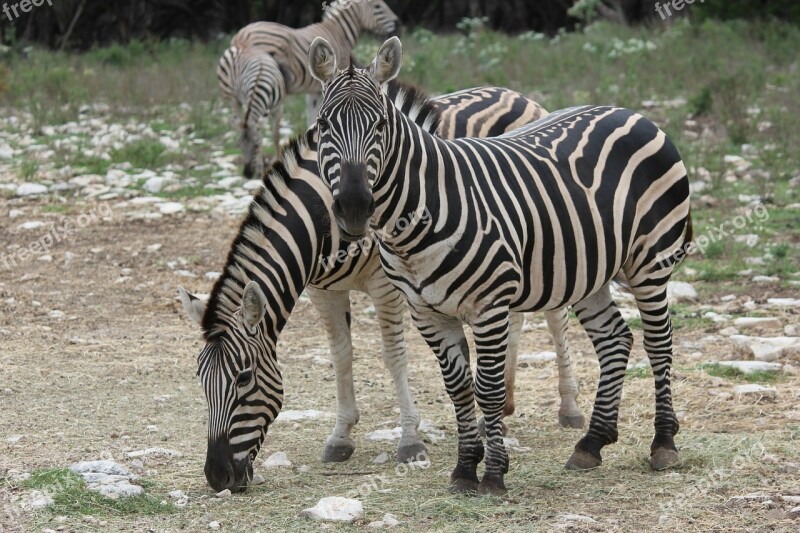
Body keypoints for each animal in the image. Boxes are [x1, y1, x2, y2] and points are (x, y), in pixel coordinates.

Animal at [178, 81, 584, 492]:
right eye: (200, 380)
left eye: (244, 379)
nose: (216, 476)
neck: (321, 219)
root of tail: (514, 93)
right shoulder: (322, 290)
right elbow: (341, 356)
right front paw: (341, 436)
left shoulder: (386, 283)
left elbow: (393, 356)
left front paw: (410, 440)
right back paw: (500, 410)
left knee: (555, 318)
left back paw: (569, 408)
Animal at [217, 0, 400, 179]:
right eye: (378, 6)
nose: (397, 23)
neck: (339, 32)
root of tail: (241, 36)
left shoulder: (313, 90)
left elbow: (311, 115)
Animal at [306, 36, 692, 494]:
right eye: (323, 126)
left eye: (380, 125)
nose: (353, 207)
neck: (420, 214)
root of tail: (630, 112)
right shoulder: (426, 312)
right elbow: (458, 390)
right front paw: (463, 469)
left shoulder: (489, 305)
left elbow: (487, 389)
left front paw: (492, 474)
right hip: (588, 268)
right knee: (615, 339)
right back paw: (592, 443)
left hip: (650, 261)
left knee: (658, 342)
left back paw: (663, 443)